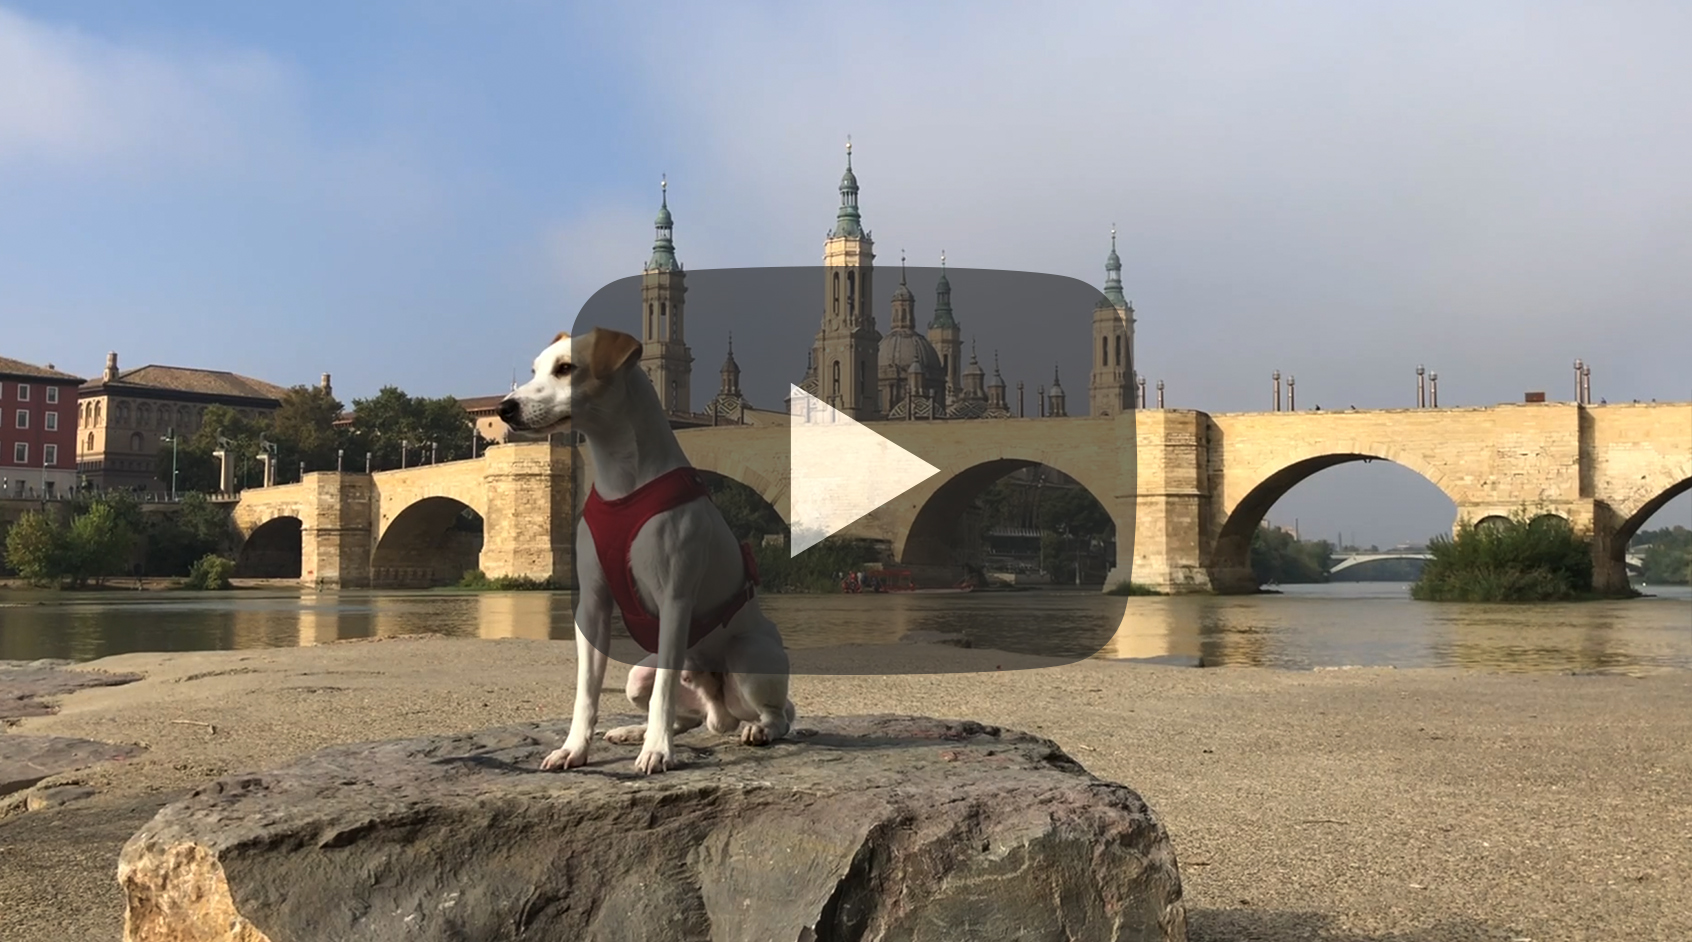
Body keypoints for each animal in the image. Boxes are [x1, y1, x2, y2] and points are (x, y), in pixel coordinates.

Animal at [494, 326, 798, 774]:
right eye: (535, 370)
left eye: (566, 368)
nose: (505, 408)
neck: (622, 482)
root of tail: (721, 710)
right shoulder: (593, 605)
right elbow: (587, 691)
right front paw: (574, 748)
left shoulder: (675, 601)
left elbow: (665, 692)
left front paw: (658, 751)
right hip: (639, 675)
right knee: (691, 718)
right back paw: (633, 731)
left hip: (748, 659)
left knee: (779, 714)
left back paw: (756, 730)